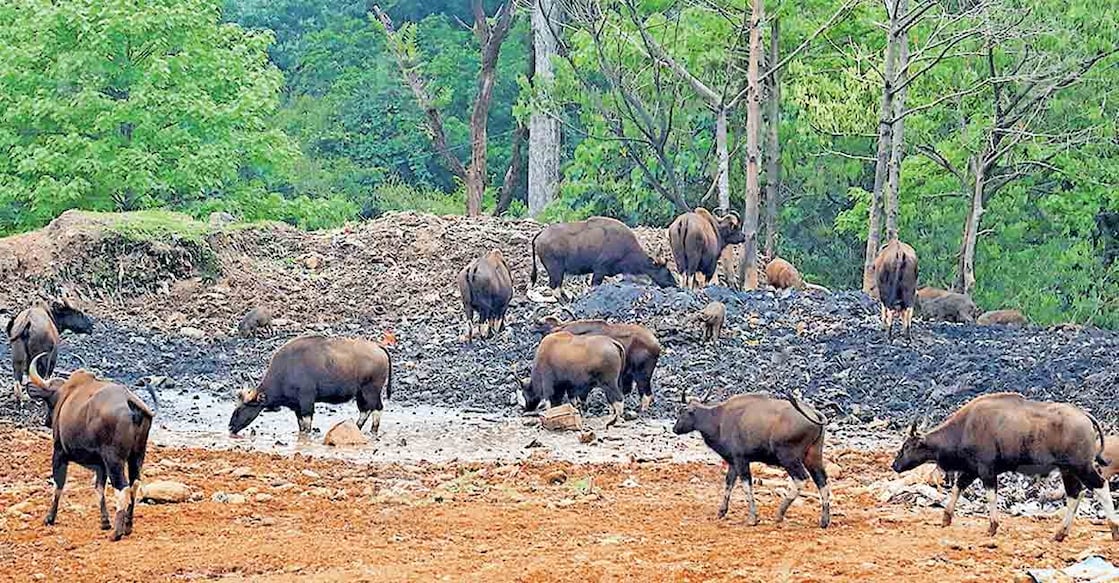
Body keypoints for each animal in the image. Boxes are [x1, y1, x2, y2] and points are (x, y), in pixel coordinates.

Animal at [24, 351, 153, 539]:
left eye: (48, 401)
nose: (47, 421)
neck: (66, 395)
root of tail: (129, 401)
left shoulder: (59, 452)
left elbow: (58, 484)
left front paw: (49, 518)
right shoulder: (100, 465)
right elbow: (99, 488)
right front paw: (104, 522)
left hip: (114, 460)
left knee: (122, 487)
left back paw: (117, 533)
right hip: (137, 456)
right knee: (134, 484)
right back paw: (128, 526)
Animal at [227, 333, 393, 434]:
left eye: (240, 410)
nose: (230, 427)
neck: (286, 370)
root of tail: (378, 348)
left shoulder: (306, 401)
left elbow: (307, 426)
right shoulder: (296, 406)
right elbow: (301, 425)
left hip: (371, 390)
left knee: (377, 408)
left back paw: (373, 431)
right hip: (360, 393)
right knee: (366, 410)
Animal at [671, 393, 832, 525]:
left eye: (682, 411)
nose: (675, 429)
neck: (718, 420)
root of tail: (815, 413)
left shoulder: (741, 460)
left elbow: (746, 485)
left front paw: (752, 518)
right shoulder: (733, 462)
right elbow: (729, 483)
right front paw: (722, 511)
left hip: (789, 458)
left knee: (801, 479)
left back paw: (779, 514)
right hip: (813, 457)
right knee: (822, 481)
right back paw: (824, 520)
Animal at [890, 393, 1119, 539]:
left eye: (906, 446)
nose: (895, 465)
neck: (965, 427)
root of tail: (1084, 416)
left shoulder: (986, 471)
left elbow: (990, 496)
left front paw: (992, 526)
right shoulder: (971, 470)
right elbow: (958, 487)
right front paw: (946, 518)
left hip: (1081, 467)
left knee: (1100, 486)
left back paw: (1114, 529)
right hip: (1068, 470)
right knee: (1075, 494)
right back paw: (1060, 533)